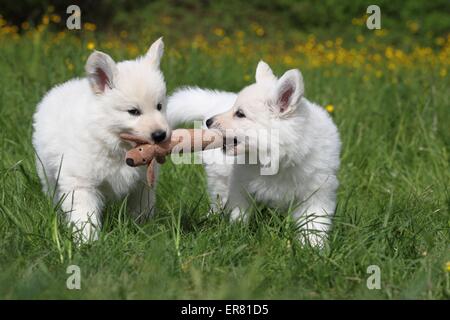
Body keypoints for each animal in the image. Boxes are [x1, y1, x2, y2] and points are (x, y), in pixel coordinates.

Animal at [33, 37, 171, 241]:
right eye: (133, 112)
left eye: (159, 106)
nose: (160, 135)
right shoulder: (80, 183)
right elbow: (84, 215)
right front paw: (87, 241)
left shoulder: (142, 184)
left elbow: (141, 207)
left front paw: (144, 230)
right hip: (47, 171)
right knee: (52, 193)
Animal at [169, 61, 342, 246]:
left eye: (240, 114)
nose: (209, 121)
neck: (277, 161)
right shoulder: (239, 185)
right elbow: (239, 213)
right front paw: (236, 234)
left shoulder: (316, 194)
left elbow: (315, 224)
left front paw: (313, 247)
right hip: (219, 177)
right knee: (218, 200)